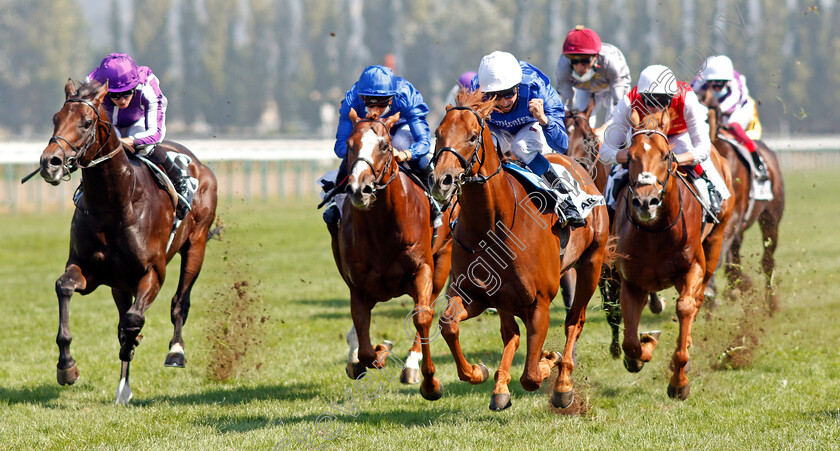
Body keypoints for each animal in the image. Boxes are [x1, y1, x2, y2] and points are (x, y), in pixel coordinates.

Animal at [39, 80, 218, 406]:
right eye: (55, 118)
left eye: (86, 123)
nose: (50, 162)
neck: (115, 204)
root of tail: (200, 165)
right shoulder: (89, 270)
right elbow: (65, 287)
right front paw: (67, 367)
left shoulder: (153, 273)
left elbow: (133, 320)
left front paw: (132, 344)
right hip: (120, 282)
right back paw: (123, 385)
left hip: (196, 244)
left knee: (180, 301)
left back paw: (175, 351)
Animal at [326, 107, 452, 398]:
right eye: (350, 146)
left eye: (385, 146)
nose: (359, 189)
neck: (383, 227)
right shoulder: (358, 286)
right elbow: (365, 345)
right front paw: (378, 352)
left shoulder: (423, 269)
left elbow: (422, 315)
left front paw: (429, 382)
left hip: (443, 260)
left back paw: (411, 365)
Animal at [430, 90, 608, 412]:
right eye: (438, 133)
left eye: (473, 136)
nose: (441, 180)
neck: (492, 225)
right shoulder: (472, 295)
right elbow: (449, 324)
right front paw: (477, 371)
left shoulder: (539, 303)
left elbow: (531, 376)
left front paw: (549, 361)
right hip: (504, 299)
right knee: (510, 333)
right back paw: (500, 387)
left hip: (592, 263)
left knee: (574, 321)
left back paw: (562, 385)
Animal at [612, 107, 736, 400]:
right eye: (629, 156)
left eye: (666, 155)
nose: (646, 202)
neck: (656, 232)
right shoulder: (632, 282)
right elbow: (630, 341)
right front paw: (642, 350)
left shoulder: (693, 267)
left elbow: (686, 306)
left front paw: (679, 381)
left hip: (715, 242)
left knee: (698, 298)